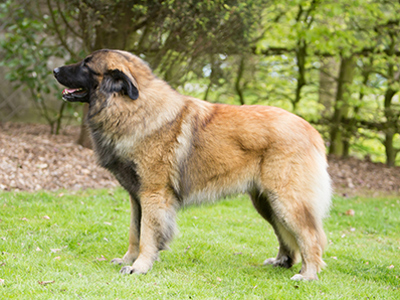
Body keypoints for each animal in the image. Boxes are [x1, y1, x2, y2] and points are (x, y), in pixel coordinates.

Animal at [53, 49, 332, 282]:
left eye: (86, 65)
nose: (54, 70)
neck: (133, 108)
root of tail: (312, 131)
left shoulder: (153, 194)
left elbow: (147, 235)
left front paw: (139, 266)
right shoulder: (136, 196)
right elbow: (135, 232)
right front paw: (127, 260)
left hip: (286, 199)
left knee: (311, 236)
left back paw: (308, 274)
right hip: (267, 202)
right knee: (286, 234)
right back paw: (282, 261)